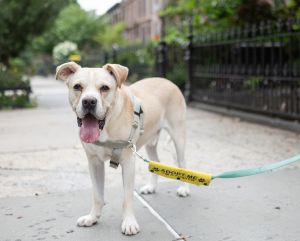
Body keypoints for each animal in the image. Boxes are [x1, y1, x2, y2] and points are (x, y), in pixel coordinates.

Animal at [55, 62, 189, 235]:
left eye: (104, 88)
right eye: (77, 86)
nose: (89, 101)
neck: (107, 126)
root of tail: (167, 81)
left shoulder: (128, 162)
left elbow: (127, 197)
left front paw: (129, 222)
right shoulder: (94, 163)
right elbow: (97, 195)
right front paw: (93, 217)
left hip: (178, 136)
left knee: (182, 162)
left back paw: (184, 188)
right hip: (151, 141)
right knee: (155, 161)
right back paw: (152, 187)